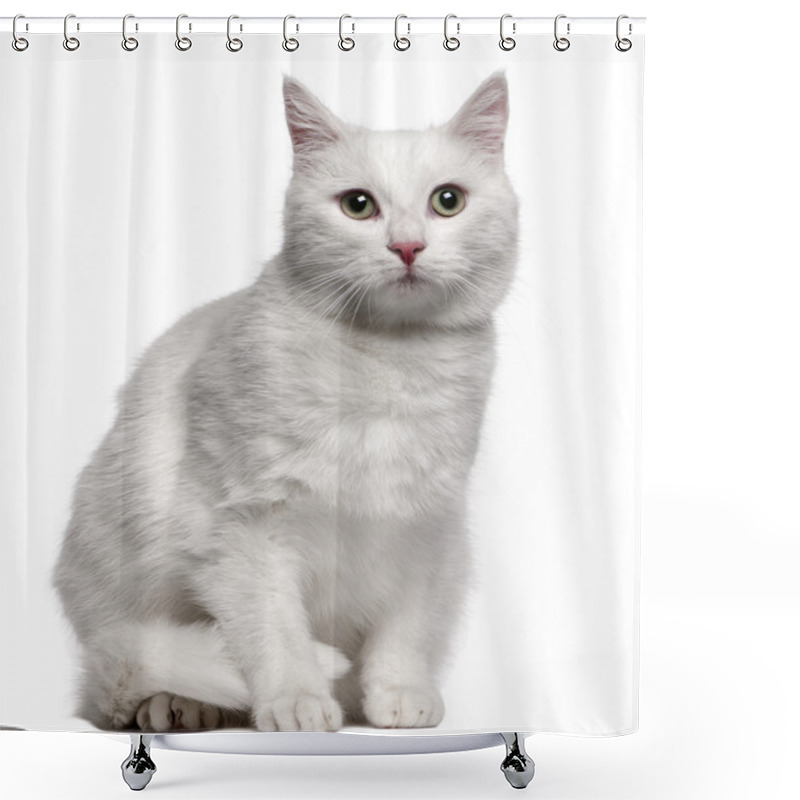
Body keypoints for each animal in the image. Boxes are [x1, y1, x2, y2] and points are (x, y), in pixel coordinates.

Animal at [54, 70, 520, 732]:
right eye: (358, 205)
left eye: (448, 200)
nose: (407, 246)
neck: (386, 363)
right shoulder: (245, 526)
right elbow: (274, 629)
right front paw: (296, 699)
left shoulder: (425, 525)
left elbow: (405, 626)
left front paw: (399, 692)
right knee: (131, 678)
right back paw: (180, 704)